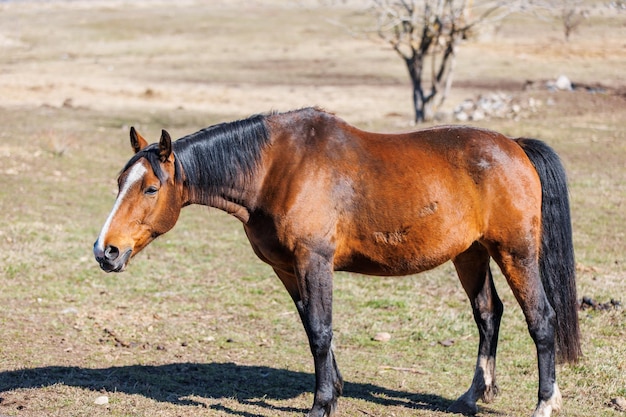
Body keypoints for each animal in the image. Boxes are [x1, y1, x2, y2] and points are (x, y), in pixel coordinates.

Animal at [94, 108, 580, 416]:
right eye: (119, 182)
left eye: (150, 188)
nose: (106, 250)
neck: (277, 169)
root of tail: (514, 147)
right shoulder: (288, 268)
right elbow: (313, 327)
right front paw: (336, 389)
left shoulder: (314, 261)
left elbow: (321, 328)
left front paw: (321, 403)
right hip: (471, 254)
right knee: (488, 314)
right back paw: (472, 396)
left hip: (515, 252)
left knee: (541, 318)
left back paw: (545, 401)